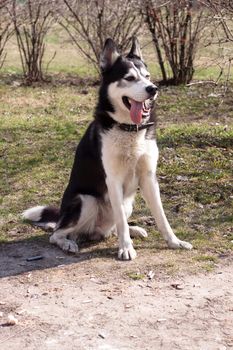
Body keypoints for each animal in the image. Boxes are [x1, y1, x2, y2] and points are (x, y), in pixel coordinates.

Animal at [22, 37, 193, 260]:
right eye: (129, 78)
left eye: (147, 76)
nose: (153, 89)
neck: (129, 128)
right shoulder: (113, 180)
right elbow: (120, 221)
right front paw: (126, 248)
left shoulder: (149, 177)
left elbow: (161, 216)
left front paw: (174, 242)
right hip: (86, 201)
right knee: (56, 233)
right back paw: (68, 242)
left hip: (127, 203)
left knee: (112, 228)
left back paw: (133, 229)